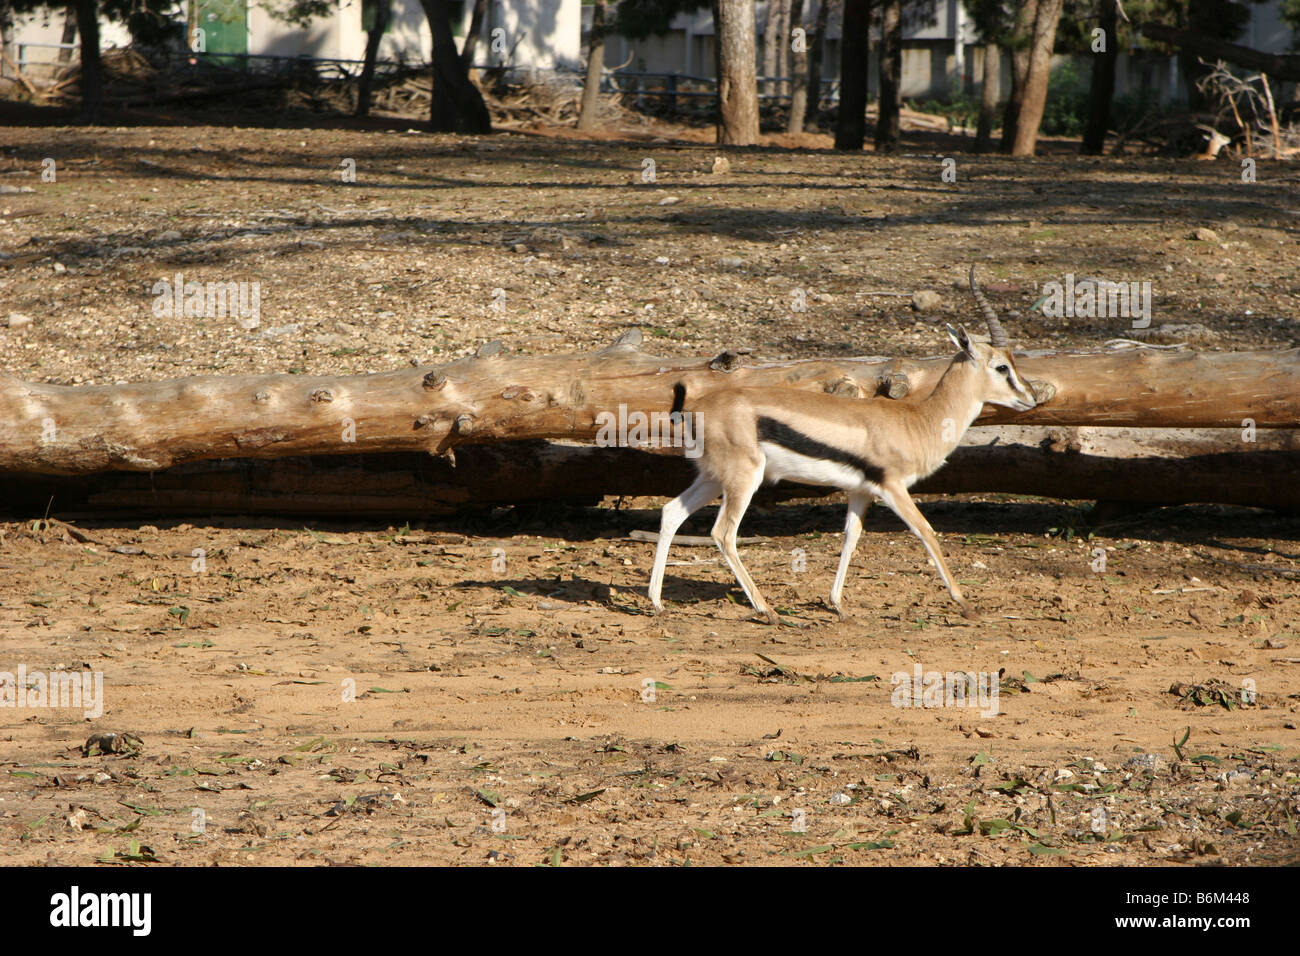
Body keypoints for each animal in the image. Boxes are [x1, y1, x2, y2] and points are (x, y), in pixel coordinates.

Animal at [647, 266, 1037, 623]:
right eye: (1002, 367)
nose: (1031, 397)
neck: (918, 420)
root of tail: (695, 408)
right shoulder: (893, 487)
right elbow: (926, 531)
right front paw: (964, 603)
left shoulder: (861, 491)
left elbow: (852, 536)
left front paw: (837, 604)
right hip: (744, 479)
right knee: (723, 533)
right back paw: (767, 610)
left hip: (714, 478)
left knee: (671, 512)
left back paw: (657, 603)